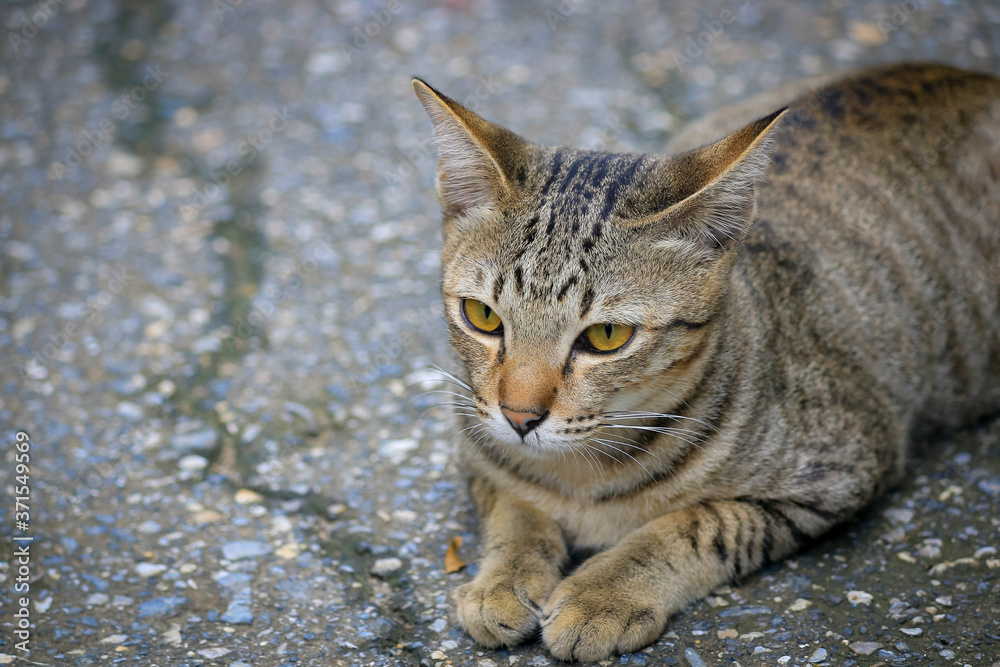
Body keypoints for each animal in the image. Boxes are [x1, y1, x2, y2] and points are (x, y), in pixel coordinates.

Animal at [408, 65, 1000, 660]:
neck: (583, 477)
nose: (520, 417)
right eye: (482, 316)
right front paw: (502, 579)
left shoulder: (843, 469)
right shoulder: (475, 447)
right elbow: (513, 509)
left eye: (605, 336)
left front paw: (603, 592)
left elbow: (697, 524)